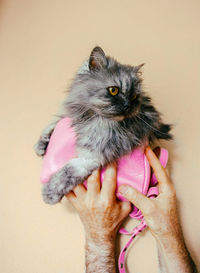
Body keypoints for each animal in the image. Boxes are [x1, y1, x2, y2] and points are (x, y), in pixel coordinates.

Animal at [34, 46, 172, 204]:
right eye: (113, 90)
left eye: (133, 97)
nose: (127, 105)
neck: (92, 117)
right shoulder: (71, 116)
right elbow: (52, 124)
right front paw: (40, 145)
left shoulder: (91, 156)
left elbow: (66, 173)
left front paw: (49, 194)